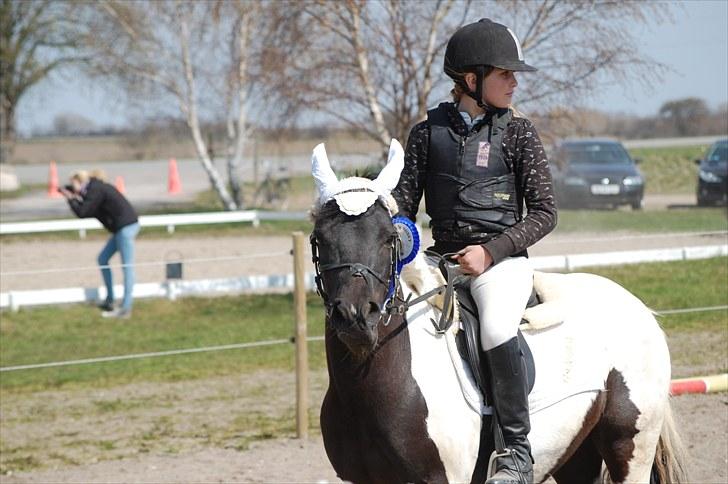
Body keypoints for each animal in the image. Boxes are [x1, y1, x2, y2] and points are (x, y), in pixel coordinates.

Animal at [310, 139, 687, 484]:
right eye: (319, 239)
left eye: (390, 238)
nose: (356, 318)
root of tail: (638, 307)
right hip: (577, 452)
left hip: (629, 444)